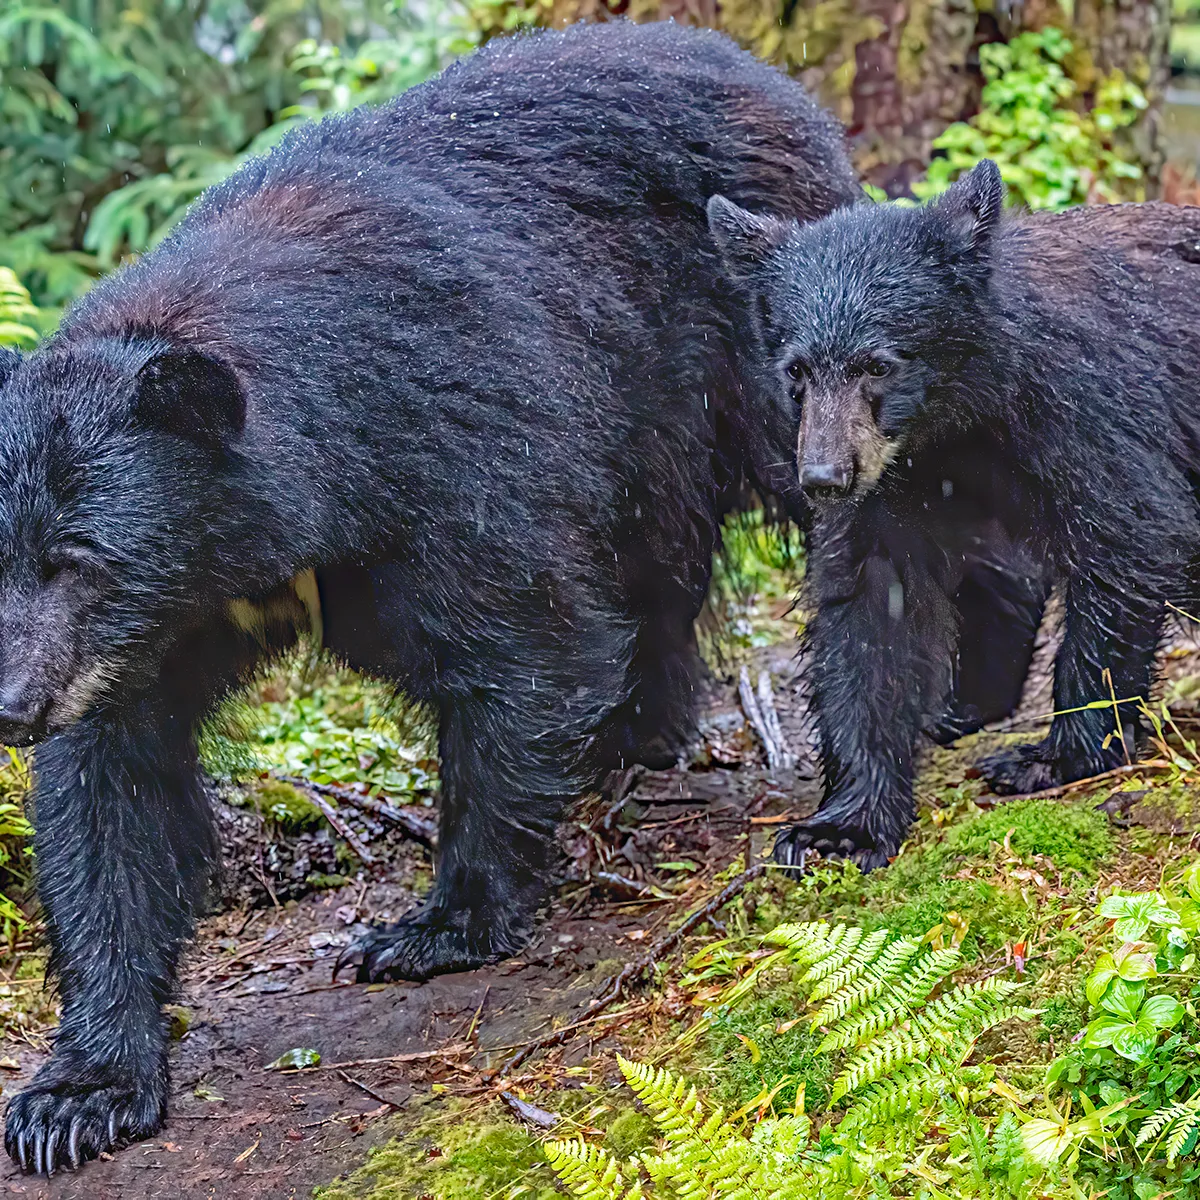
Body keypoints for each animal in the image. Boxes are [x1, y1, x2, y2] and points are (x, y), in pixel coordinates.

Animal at [0, 19, 869, 1174]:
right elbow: (112, 795)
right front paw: (78, 1092)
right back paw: (638, 731)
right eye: (0, 556)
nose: (11, 706)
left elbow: (526, 643)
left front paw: (435, 926)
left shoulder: (443, 446)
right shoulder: (143, 643)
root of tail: (769, 78)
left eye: (81, 555)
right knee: (660, 566)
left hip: (751, 348)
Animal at [707, 160, 1200, 871]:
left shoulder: (1085, 410)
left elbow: (1130, 534)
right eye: (796, 369)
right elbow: (872, 609)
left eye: (876, 364)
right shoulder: (892, 484)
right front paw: (841, 825)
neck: (961, 416)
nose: (823, 478)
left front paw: (1051, 757)